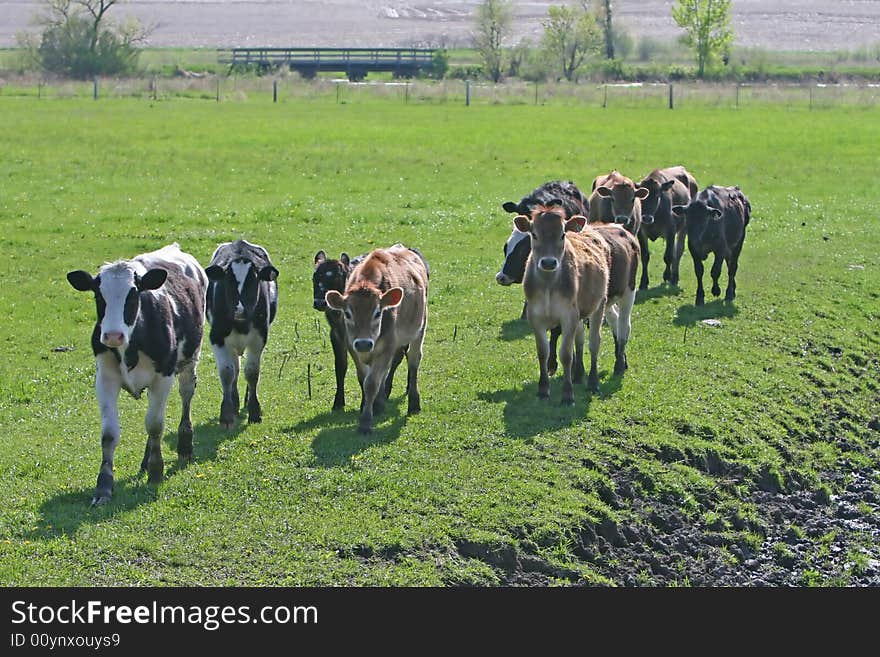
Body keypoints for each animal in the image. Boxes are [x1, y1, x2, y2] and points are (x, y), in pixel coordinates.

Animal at [67, 241, 208, 502]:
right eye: (98, 294)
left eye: (133, 294)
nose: (113, 335)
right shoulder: (105, 378)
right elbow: (109, 434)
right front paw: (104, 486)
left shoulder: (163, 376)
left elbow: (155, 425)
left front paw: (156, 470)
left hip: (191, 360)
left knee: (186, 395)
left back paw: (184, 445)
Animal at [205, 238, 276, 428]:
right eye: (228, 281)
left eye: (253, 281)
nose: (239, 310)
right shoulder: (217, 337)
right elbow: (227, 373)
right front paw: (226, 414)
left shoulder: (259, 338)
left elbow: (252, 373)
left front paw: (254, 411)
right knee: (235, 369)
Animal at [326, 243, 430, 434]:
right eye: (347, 314)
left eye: (377, 312)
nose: (364, 343)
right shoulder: (353, 347)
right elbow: (364, 377)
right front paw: (373, 406)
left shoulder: (387, 346)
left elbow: (371, 383)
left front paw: (366, 422)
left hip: (419, 329)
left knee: (413, 361)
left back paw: (413, 403)